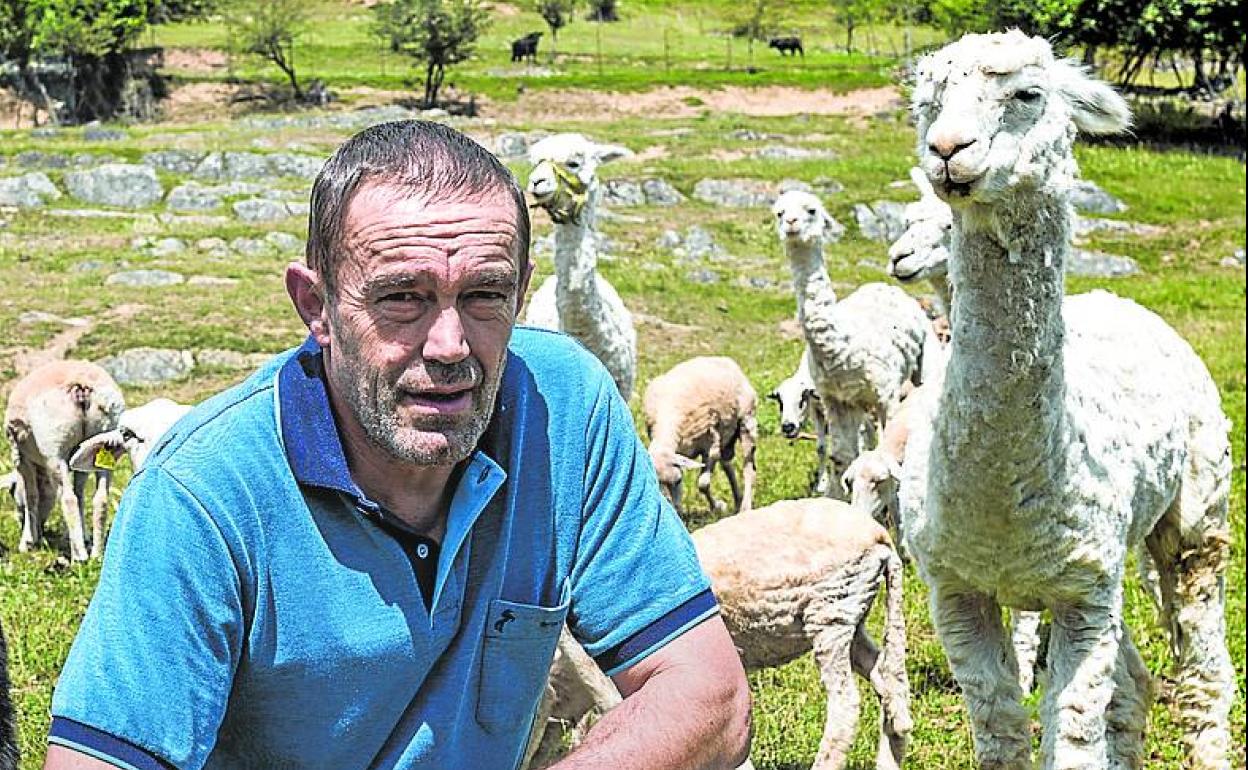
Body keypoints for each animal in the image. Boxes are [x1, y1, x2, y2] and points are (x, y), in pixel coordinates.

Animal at [4, 359, 124, 559]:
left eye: (13, 495)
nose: (41, 530)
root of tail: (81, 385)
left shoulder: (20, 456)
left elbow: (31, 496)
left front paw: (28, 542)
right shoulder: (80, 461)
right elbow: (80, 494)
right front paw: (82, 537)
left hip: (55, 449)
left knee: (68, 499)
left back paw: (79, 557)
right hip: (105, 441)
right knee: (100, 499)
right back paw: (96, 554)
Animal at [643, 356, 758, 514]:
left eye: (679, 480)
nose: (676, 510)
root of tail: (722, 358)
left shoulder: (710, 447)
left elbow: (703, 484)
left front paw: (717, 506)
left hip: (746, 420)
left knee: (748, 467)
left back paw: (745, 507)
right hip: (725, 435)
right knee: (727, 464)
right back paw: (737, 500)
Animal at [903, 33, 1233, 768]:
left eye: (1027, 94)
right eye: (927, 104)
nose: (948, 150)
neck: (1004, 503)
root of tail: (1120, 300)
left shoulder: (1081, 593)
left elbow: (1075, 731)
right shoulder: (958, 588)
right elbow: (1000, 728)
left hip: (1198, 511)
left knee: (1203, 670)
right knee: (1135, 685)